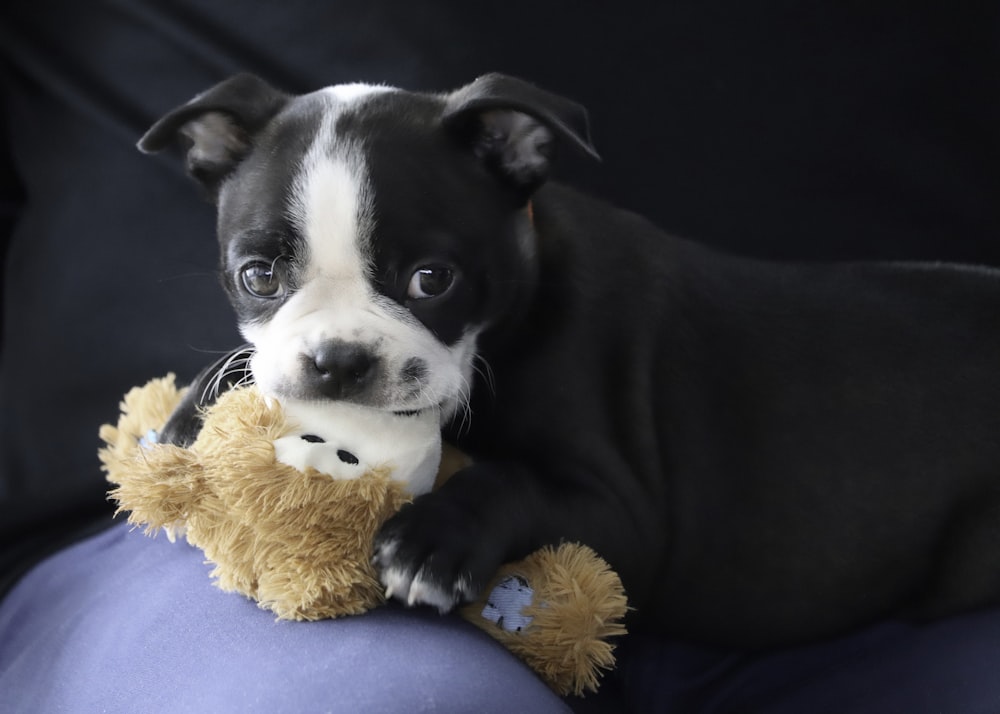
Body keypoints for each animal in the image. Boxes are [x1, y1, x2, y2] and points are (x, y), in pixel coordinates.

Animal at [139, 72, 1000, 644]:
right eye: (259, 277)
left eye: (432, 280)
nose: (339, 361)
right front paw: (191, 415)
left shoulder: (629, 519)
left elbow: (511, 479)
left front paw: (431, 541)